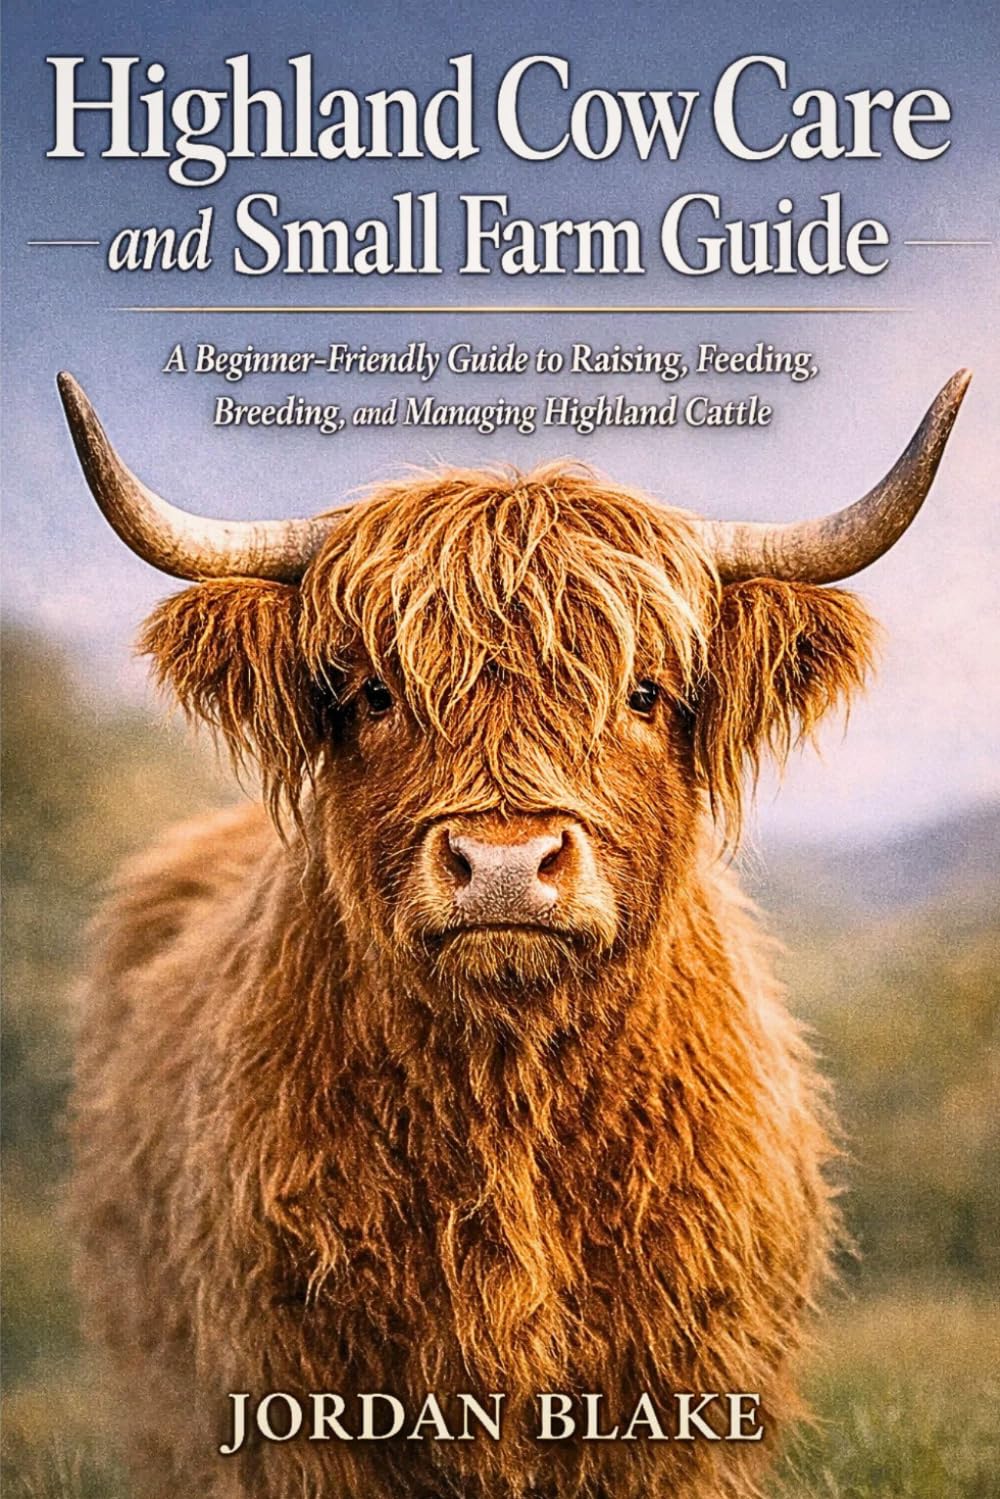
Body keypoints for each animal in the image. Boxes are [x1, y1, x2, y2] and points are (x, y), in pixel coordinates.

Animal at [58, 368, 969, 1499]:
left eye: (642, 692)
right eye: (375, 690)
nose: (503, 862)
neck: (509, 1097)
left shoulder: (680, 1401)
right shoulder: (292, 1400)